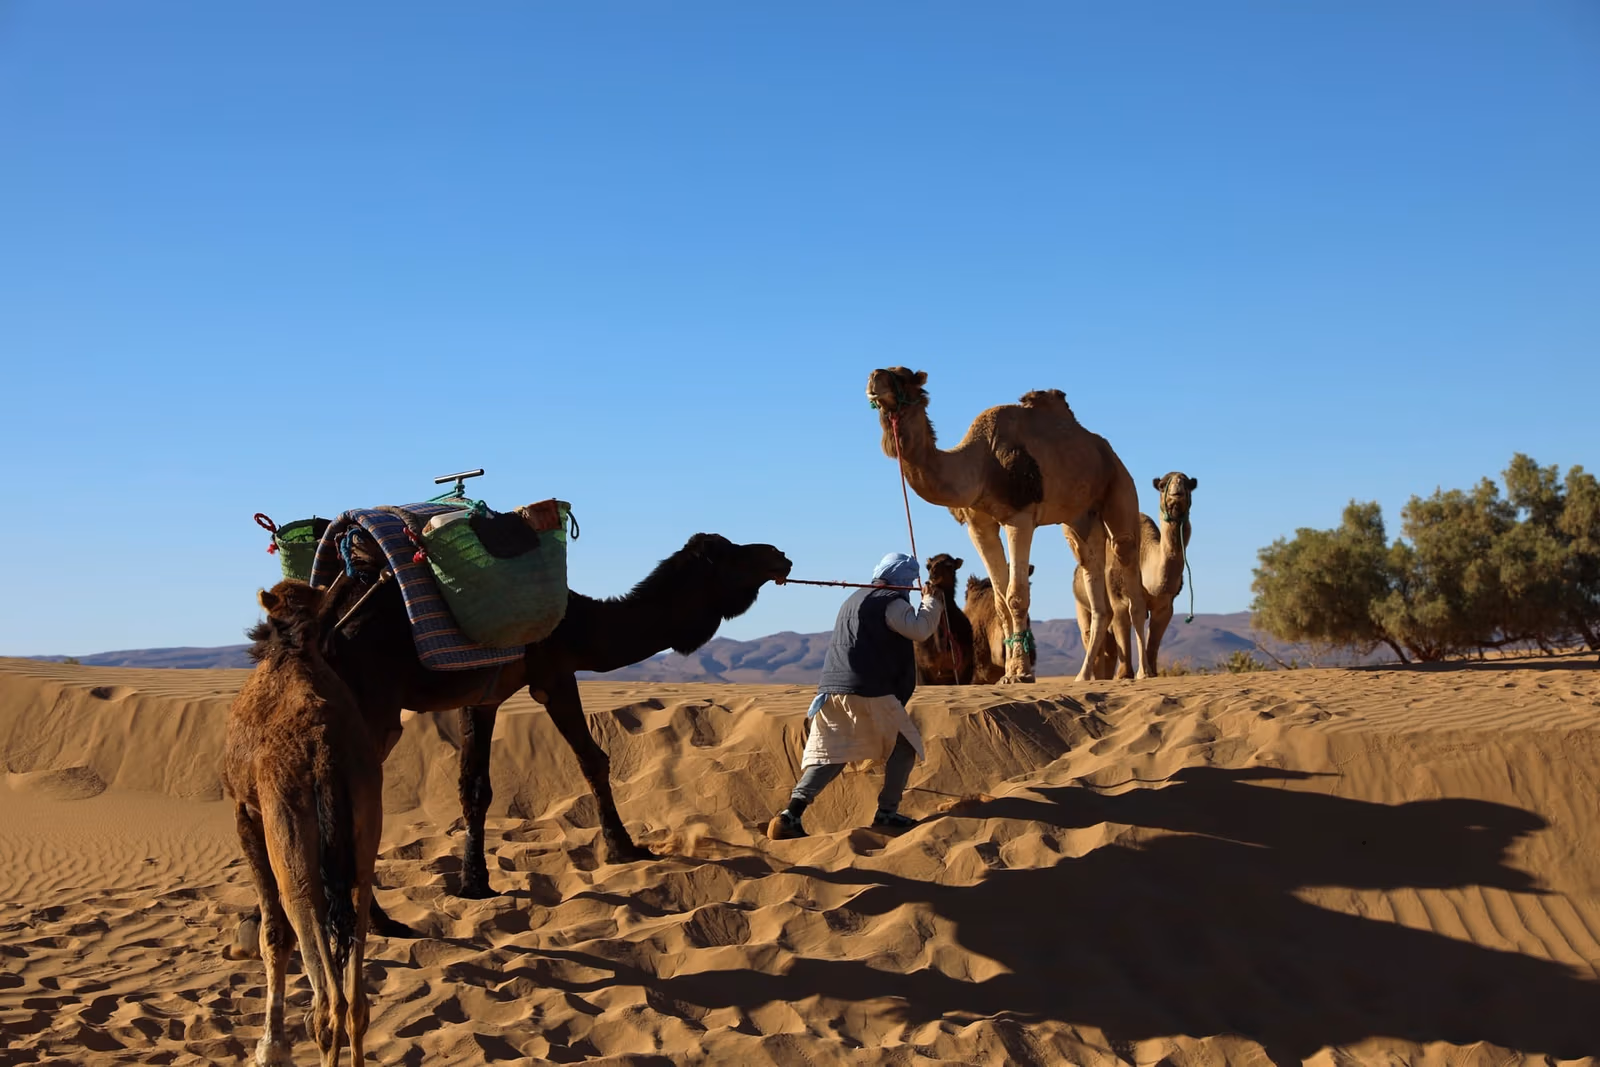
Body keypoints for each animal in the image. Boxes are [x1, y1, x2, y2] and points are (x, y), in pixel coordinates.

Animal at [224, 581, 382, 1067]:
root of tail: (325, 755)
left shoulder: (246, 811)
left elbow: (274, 935)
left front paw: (269, 1048)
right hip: (365, 830)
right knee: (357, 999)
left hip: (288, 830)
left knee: (329, 996)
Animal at [306, 531, 791, 920]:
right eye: (729, 553)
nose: (779, 554)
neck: (580, 624)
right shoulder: (553, 674)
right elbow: (592, 759)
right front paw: (625, 848)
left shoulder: (482, 695)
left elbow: (474, 786)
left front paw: (474, 884)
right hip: (372, 705)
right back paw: (377, 921)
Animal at [1074, 472, 1198, 679]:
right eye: (1163, 485)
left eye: (1188, 485)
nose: (1177, 493)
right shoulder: (1117, 598)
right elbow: (1123, 632)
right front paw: (1125, 675)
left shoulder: (1165, 605)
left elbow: (1154, 641)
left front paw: (1151, 672)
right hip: (1081, 604)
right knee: (1091, 636)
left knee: (1109, 648)